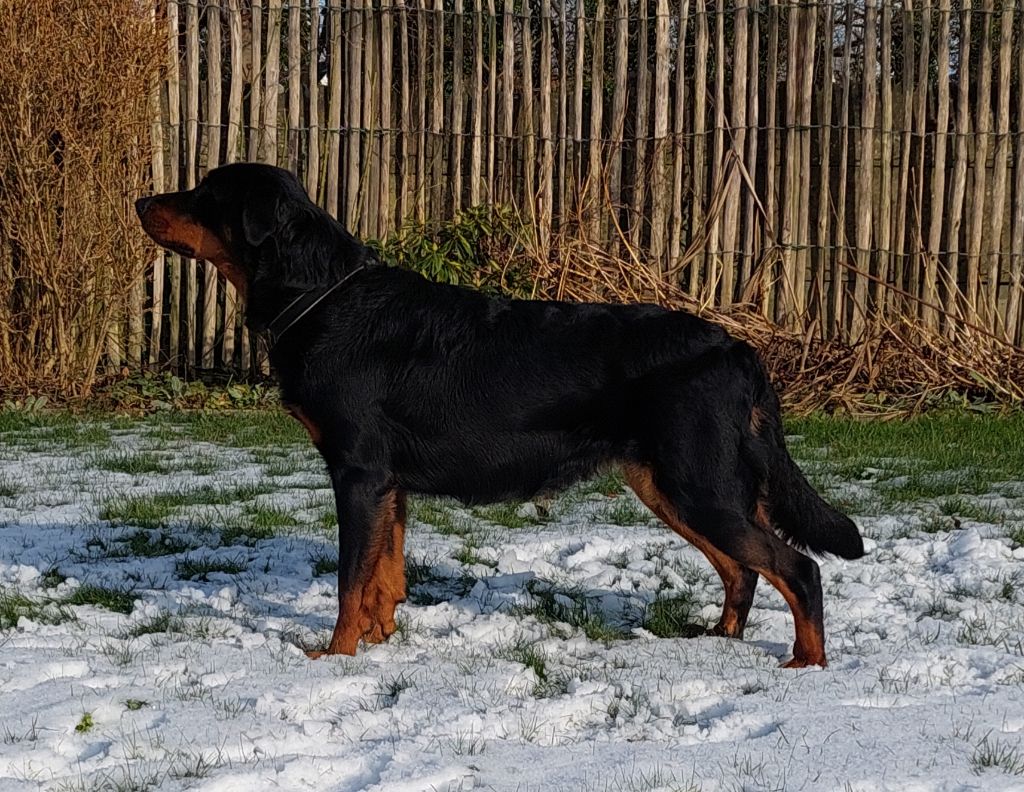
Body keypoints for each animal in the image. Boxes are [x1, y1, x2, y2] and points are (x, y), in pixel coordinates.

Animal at [132, 163, 860, 663]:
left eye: (204, 194)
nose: (140, 199)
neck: (322, 295)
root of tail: (738, 348)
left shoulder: (358, 473)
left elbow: (349, 579)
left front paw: (334, 657)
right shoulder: (388, 484)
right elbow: (383, 576)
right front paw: (379, 640)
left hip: (696, 483)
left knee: (797, 568)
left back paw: (806, 664)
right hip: (673, 484)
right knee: (744, 568)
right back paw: (717, 640)